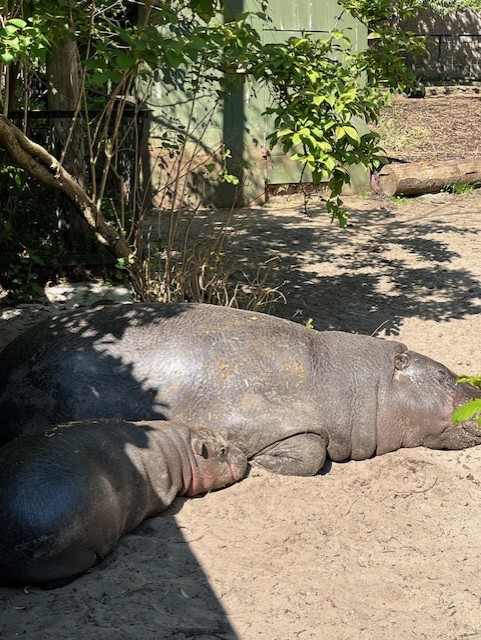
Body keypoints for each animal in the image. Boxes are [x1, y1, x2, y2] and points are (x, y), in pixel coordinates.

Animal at [0, 302, 480, 476]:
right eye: (444, 376)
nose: (477, 393)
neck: (362, 381)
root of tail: (8, 354)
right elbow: (311, 454)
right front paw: (264, 462)